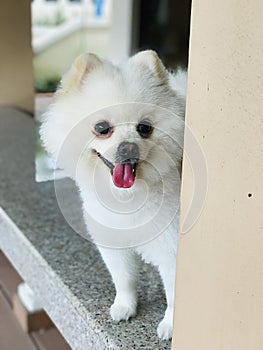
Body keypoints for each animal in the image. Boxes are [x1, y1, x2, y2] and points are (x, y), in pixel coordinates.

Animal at [40, 50, 187, 340]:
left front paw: (171, 325)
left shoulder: (172, 247)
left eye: (144, 128)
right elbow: (124, 279)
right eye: (102, 127)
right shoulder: (113, 243)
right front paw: (125, 306)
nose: (128, 147)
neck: (127, 200)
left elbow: (175, 295)